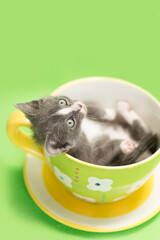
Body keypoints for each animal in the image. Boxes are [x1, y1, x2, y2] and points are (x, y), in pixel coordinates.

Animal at [15, 96, 159, 166]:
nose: (78, 106)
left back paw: (123, 108)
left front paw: (109, 113)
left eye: (62, 102)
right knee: (143, 132)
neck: (83, 129)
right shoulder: (87, 157)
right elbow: (101, 157)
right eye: (70, 122)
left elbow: (90, 105)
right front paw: (125, 145)